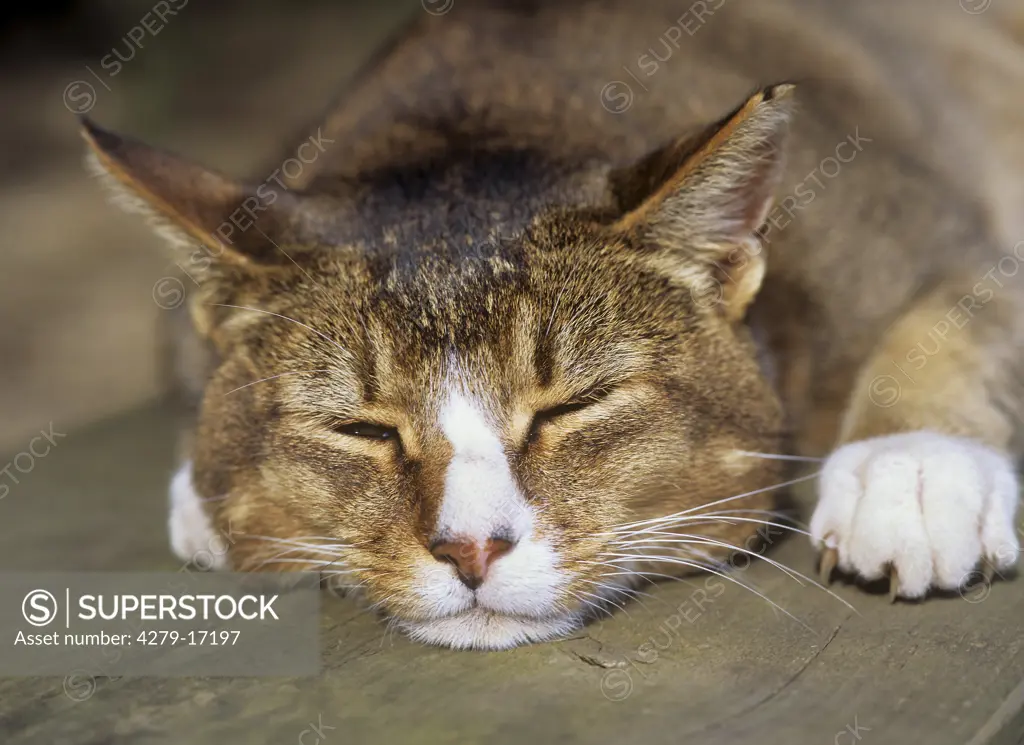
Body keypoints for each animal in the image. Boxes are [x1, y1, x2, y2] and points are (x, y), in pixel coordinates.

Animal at [86, 0, 1024, 650]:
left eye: (575, 405)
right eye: (361, 428)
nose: (471, 549)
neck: (486, 105)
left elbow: (950, 317)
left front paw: (912, 470)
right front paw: (210, 500)